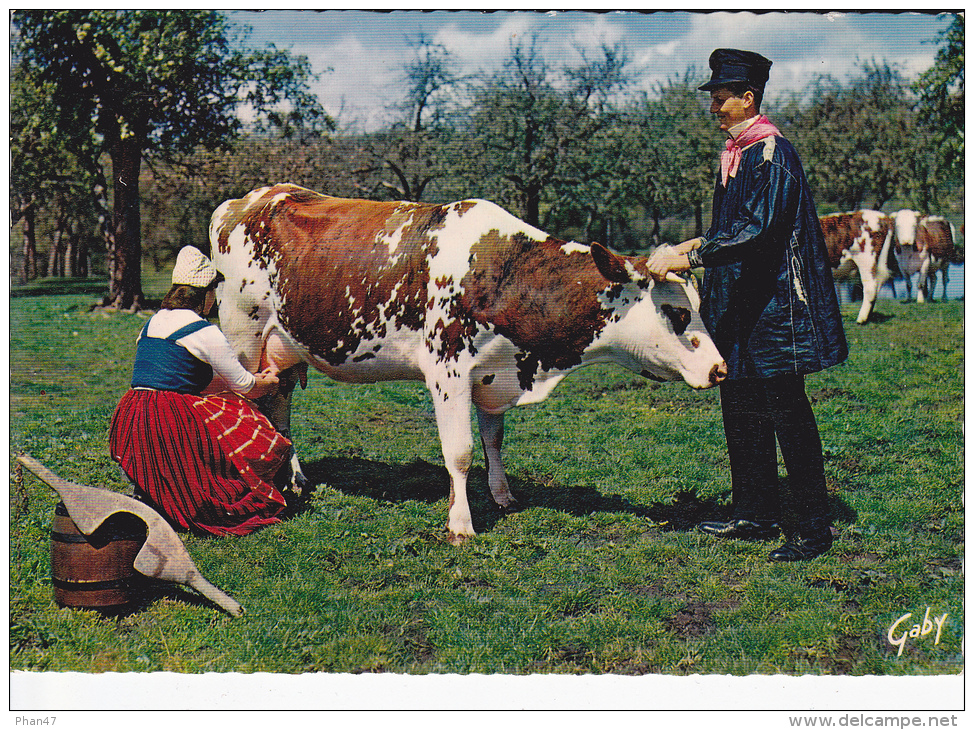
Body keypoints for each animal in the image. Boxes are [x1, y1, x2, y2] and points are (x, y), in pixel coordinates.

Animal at [215, 183, 732, 540]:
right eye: (677, 311)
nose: (720, 369)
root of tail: (252, 198)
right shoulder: (448, 371)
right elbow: (460, 451)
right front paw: (461, 523)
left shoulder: (492, 374)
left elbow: (493, 441)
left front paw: (502, 496)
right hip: (242, 337)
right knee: (251, 404)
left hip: (283, 350)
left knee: (279, 406)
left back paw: (295, 478)